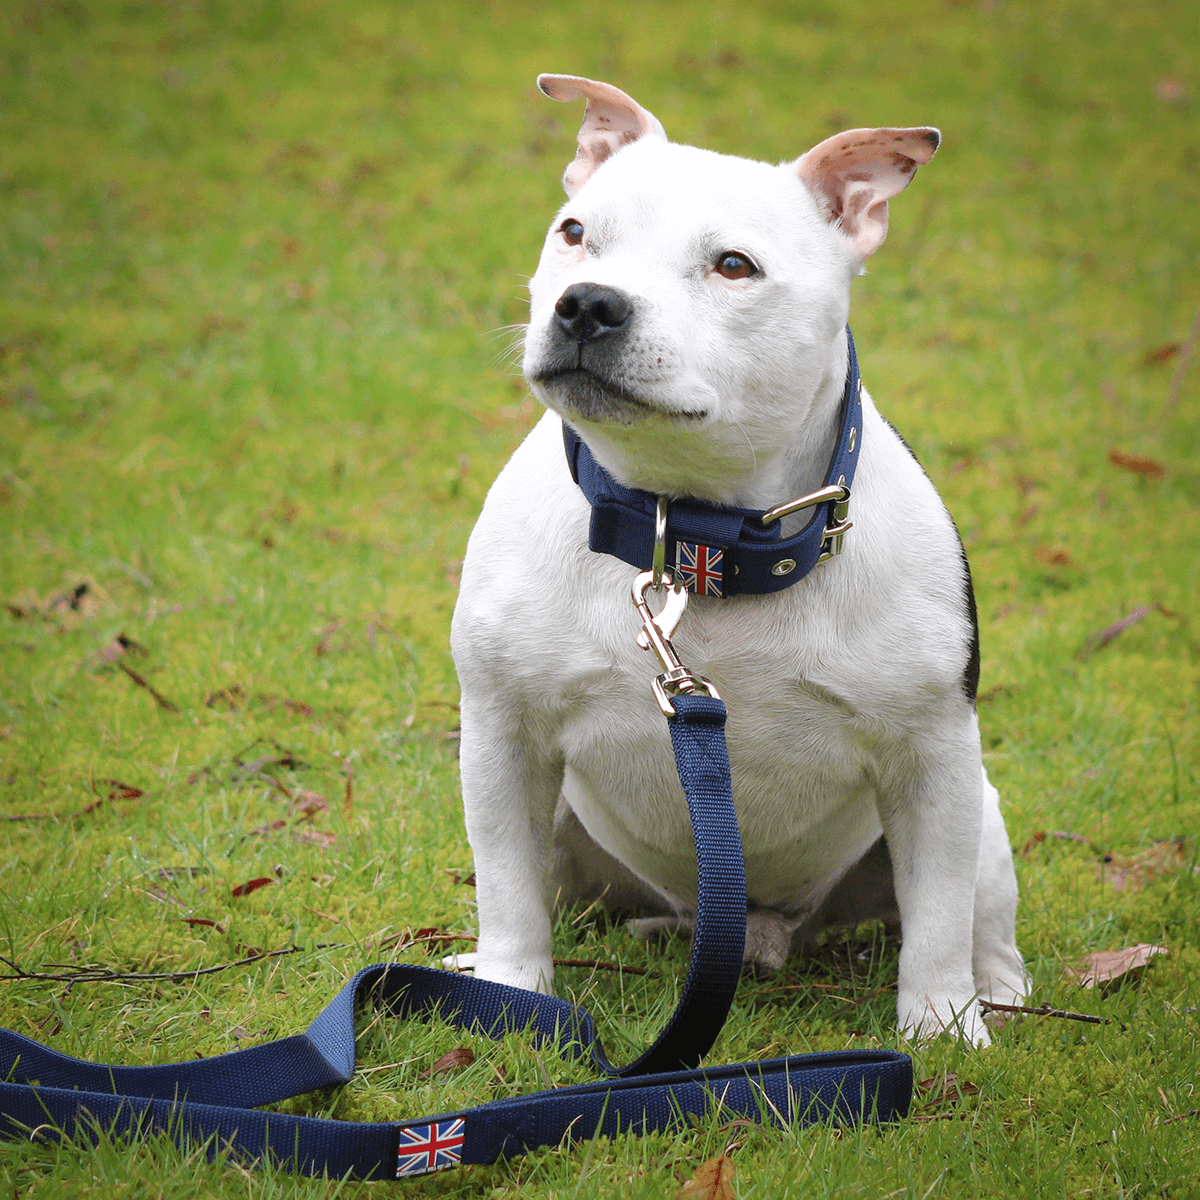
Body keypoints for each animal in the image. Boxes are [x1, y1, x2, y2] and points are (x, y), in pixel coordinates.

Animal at [446, 77, 1027, 1041]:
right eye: (575, 232)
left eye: (732, 267)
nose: (589, 303)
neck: (692, 535)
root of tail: (760, 929)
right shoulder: (505, 738)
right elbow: (507, 890)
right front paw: (510, 991)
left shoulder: (933, 761)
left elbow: (939, 917)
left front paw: (942, 1026)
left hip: (979, 809)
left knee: (981, 918)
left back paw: (1004, 993)